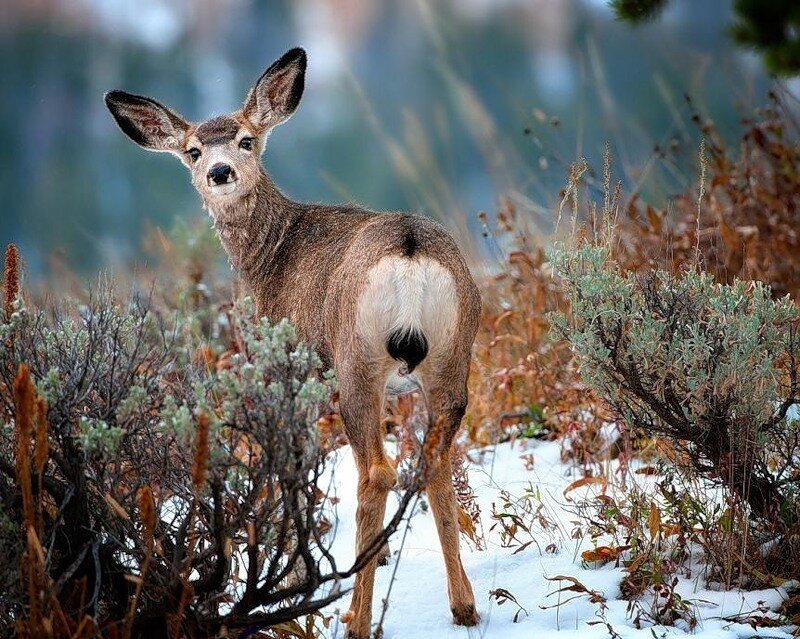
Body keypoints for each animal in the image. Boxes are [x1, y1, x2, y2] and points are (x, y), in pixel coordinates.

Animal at [104, 47, 481, 639]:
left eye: (245, 140)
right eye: (192, 150)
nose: (219, 172)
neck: (269, 257)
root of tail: (410, 248)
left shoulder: (288, 369)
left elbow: (293, 466)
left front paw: (293, 578)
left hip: (357, 361)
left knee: (377, 472)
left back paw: (355, 617)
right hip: (451, 356)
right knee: (435, 464)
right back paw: (463, 605)